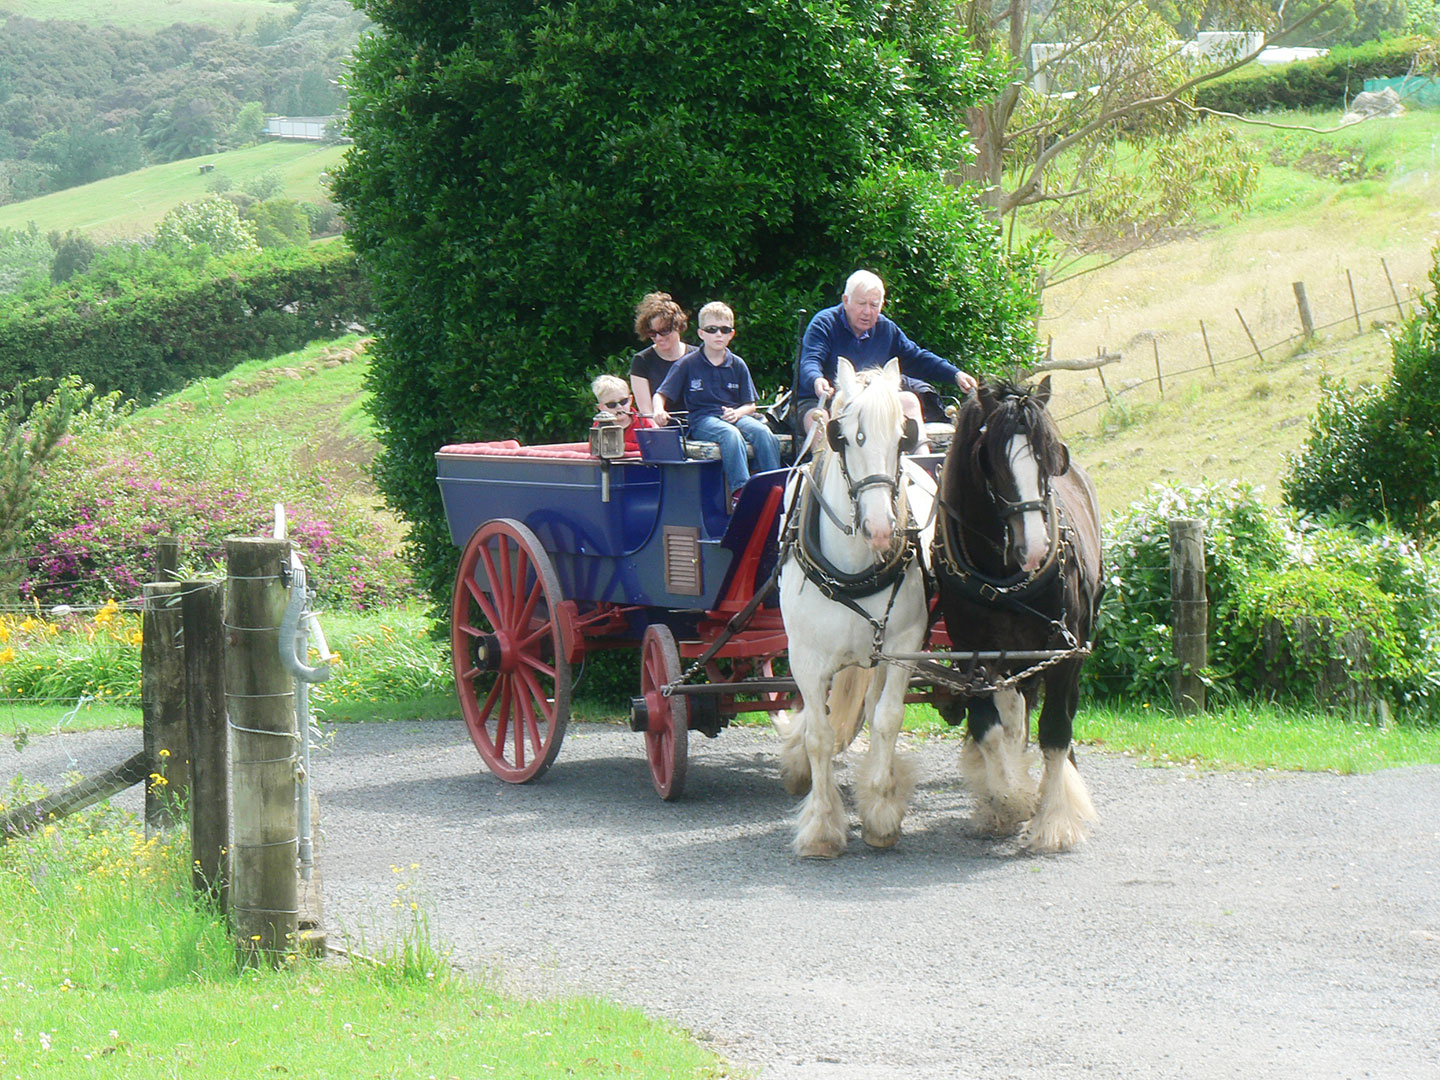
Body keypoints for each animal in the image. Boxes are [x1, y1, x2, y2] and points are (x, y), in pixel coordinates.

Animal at [783, 360, 927, 858]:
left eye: (903, 438)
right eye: (848, 437)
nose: (881, 528)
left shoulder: (902, 645)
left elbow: (887, 718)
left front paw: (881, 812)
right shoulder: (805, 660)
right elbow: (819, 735)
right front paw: (822, 827)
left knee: (871, 704)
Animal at [933, 377, 1100, 852]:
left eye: (1050, 454)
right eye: (991, 458)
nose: (1038, 548)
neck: (1004, 577)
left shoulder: (1062, 648)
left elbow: (1056, 731)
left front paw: (1054, 819)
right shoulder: (972, 654)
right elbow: (988, 726)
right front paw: (1006, 800)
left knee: (1061, 715)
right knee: (1015, 713)